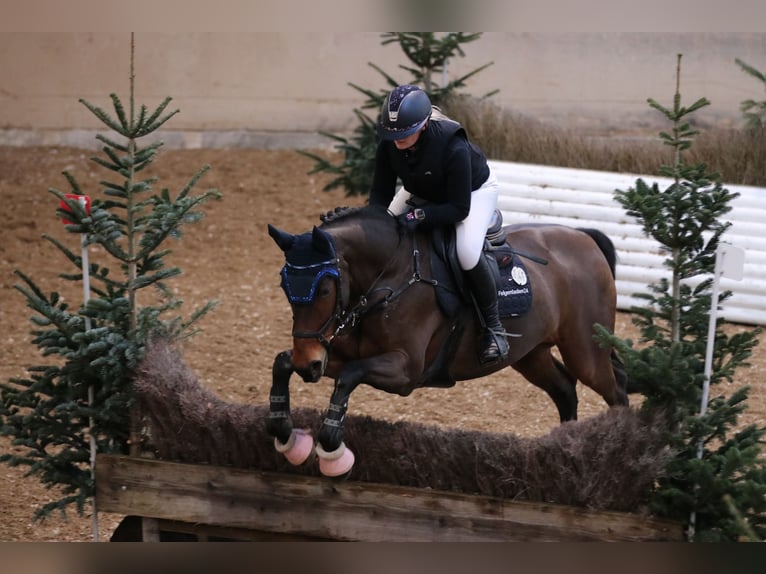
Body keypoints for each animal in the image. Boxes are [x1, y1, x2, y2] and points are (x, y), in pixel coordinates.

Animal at [268, 205, 628, 480]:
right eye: (285, 287)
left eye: (324, 289)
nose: (308, 364)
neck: (387, 277)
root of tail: (584, 237)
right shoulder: (334, 353)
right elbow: (283, 362)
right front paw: (287, 436)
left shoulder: (406, 370)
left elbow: (349, 376)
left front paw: (332, 449)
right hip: (531, 354)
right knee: (565, 389)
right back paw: (566, 449)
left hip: (585, 351)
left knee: (615, 394)